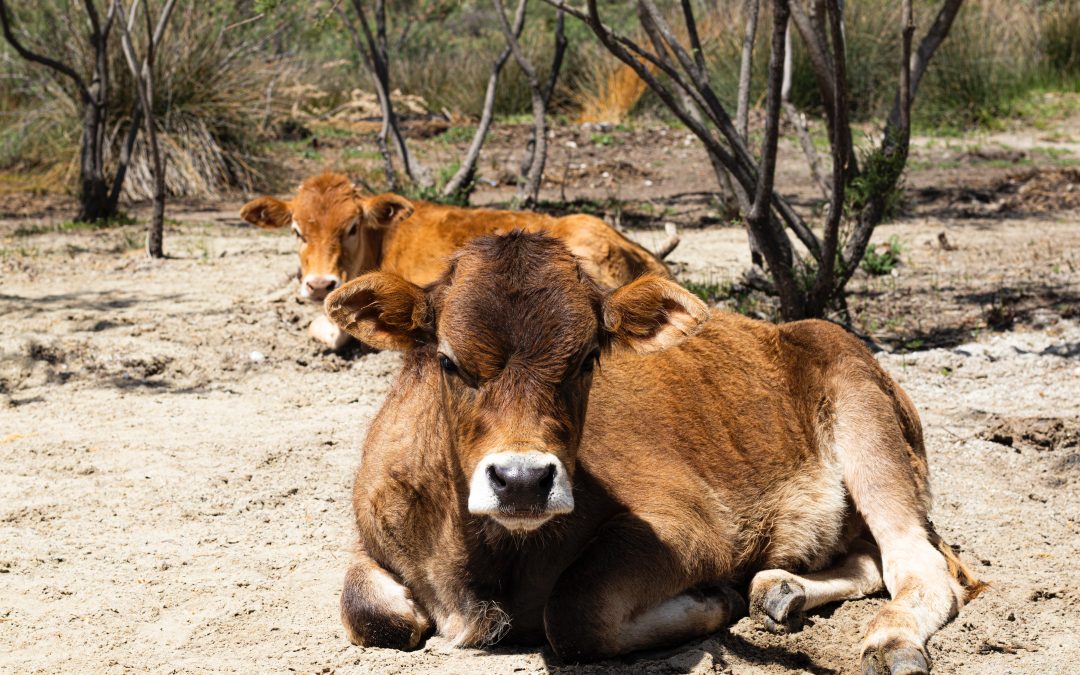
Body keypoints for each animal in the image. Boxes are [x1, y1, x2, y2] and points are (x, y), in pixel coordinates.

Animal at [324, 231, 984, 669]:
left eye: (588, 358)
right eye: (448, 360)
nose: (522, 480)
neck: (483, 562)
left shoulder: (687, 528)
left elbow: (575, 612)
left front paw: (712, 599)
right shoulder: (374, 537)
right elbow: (370, 613)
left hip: (868, 428)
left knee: (919, 564)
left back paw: (890, 641)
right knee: (872, 558)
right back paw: (780, 590)